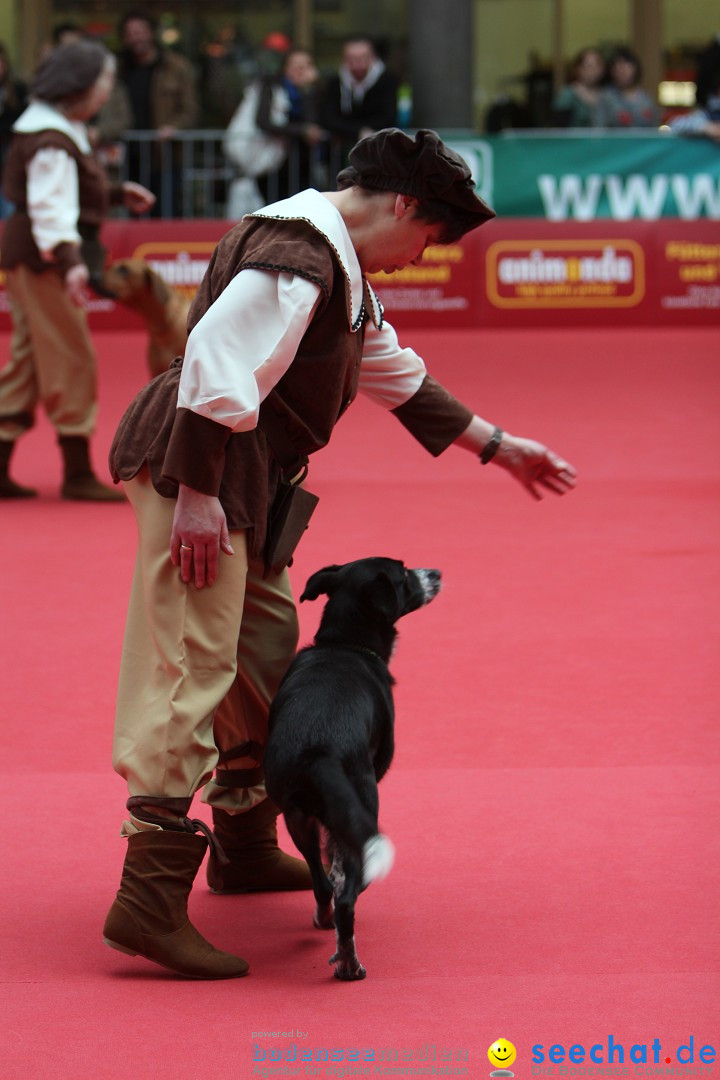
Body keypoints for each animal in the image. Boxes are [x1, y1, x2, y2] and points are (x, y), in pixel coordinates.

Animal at [264, 557, 442, 980]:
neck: (345, 644)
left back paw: (327, 922)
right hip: (363, 801)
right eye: (404, 574)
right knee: (347, 894)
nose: (437, 574)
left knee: (323, 884)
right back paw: (349, 962)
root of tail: (318, 751)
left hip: (297, 817)